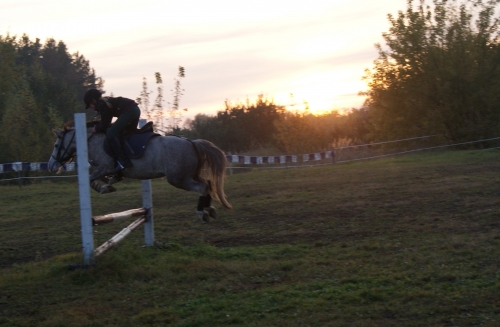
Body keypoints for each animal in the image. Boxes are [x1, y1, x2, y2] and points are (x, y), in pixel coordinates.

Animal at [47, 121, 231, 223]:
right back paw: (210, 209)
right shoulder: (110, 170)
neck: (93, 140)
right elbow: (108, 179)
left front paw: (103, 188)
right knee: (208, 184)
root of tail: (192, 142)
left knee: (202, 187)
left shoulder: (105, 166)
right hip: (190, 174)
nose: (51, 166)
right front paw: (108, 185)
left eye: (56, 145)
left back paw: (202, 213)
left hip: (178, 179)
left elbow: (91, 179)